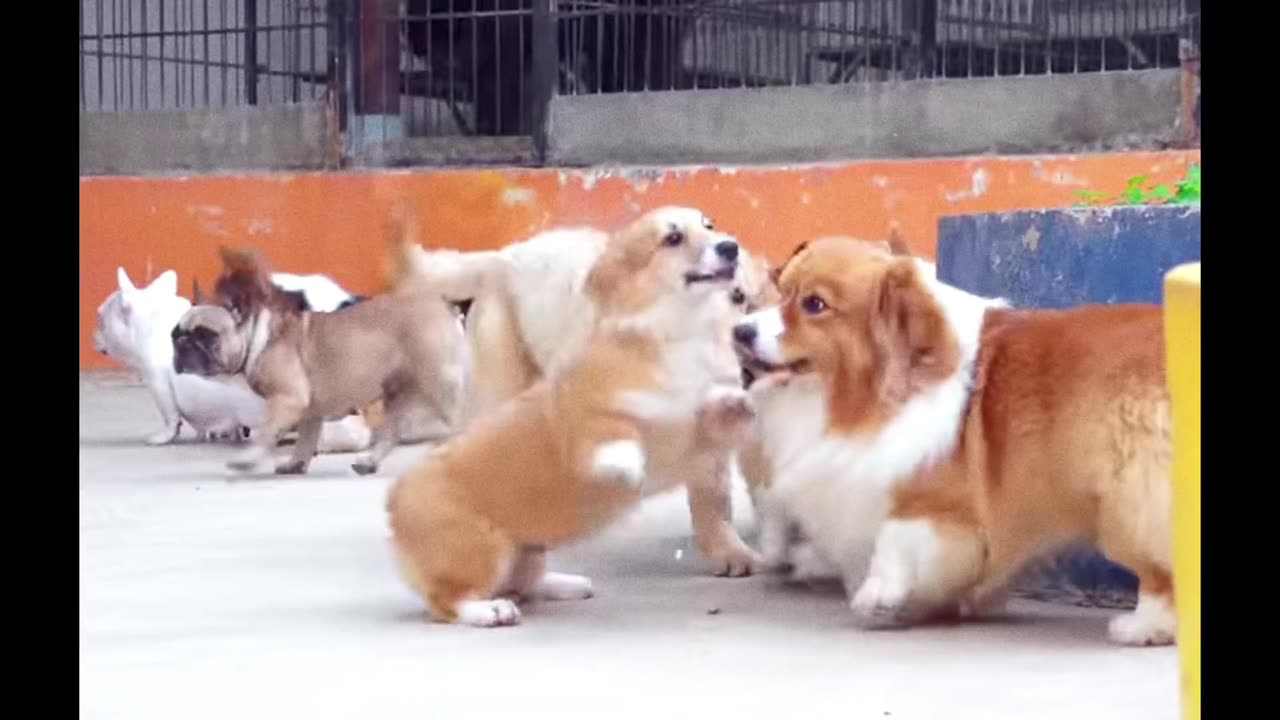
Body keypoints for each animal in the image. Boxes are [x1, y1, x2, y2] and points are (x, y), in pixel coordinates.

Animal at [384, 206, 752, 622]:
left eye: (709, 225)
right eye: (672, 238)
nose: (730, 246)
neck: (680, 335)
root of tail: (394, 501)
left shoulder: (703, 435)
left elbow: (716, 419)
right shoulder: (587, 416)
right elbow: (613, 435)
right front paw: (626, 467)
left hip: (527, 548)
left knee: (523, 583)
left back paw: (562, 584)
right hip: (481, 546)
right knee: (447, 600)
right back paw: (489, 611)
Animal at [737, 235, 1172, 645]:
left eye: (814, 304)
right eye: (779, 287)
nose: (740, 331)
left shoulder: (940, 507)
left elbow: (891, 539)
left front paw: (878, 594)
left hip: (1129, 499)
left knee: (1158, 569)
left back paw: (1141, 628)